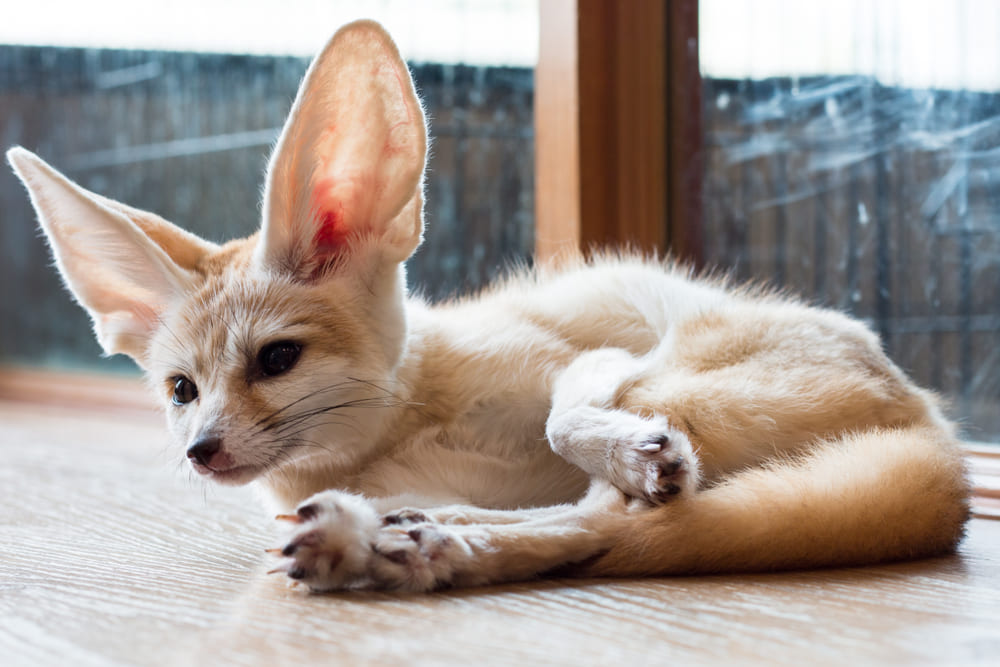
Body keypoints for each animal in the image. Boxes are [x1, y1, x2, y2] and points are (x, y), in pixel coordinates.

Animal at [7, 20, 969, 593]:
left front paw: (622, 448)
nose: (201, 450)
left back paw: (422, 539)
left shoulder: (591, 361)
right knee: (598, 526)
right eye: (180, 390)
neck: (405, 427)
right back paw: (395, 543)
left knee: (621, 515)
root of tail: (939, 435)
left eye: (277, 359)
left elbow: (561, 420)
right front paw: (402, 527)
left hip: (680, 374)